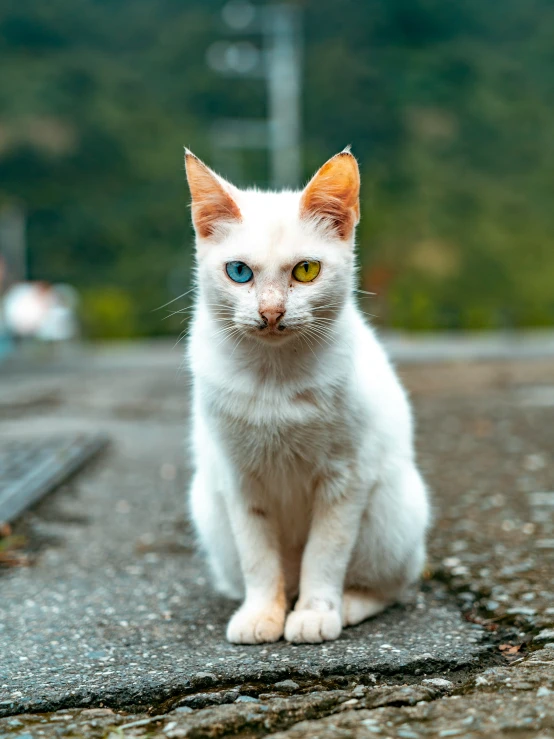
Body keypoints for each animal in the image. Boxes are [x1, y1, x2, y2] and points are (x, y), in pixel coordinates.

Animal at [183, 147, 430, 644]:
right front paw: (261, 614)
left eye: (306, 270)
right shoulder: (239, 480)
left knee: (391, 586)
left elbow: (326, 553)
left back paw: (347, 605)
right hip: (208, 507)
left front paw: (315, 613)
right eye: (239, 272)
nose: (271, 312)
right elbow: (258, 558)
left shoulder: (346, 478)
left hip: (394, 509)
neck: (274, 379)